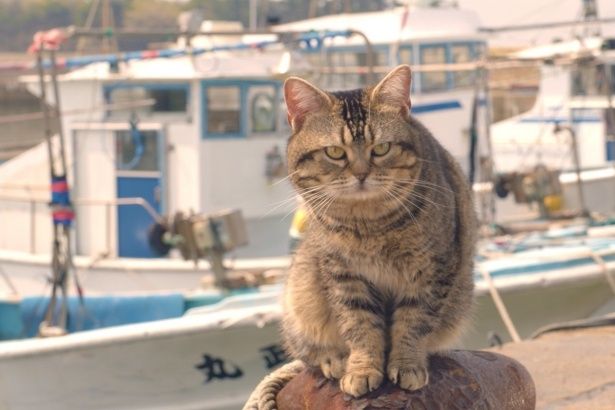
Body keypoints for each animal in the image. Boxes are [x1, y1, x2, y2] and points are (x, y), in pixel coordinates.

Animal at [244, 65, 476, 408]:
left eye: (380, 148)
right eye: (335, 152)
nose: (361, 173)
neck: (368, 223)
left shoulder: (430, 271)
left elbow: (413, 321)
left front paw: (406, 363)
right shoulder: (344, 275)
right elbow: (360, 326)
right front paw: (362, 368)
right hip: (301, 294)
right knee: (306, 353)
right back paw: (334, 359)